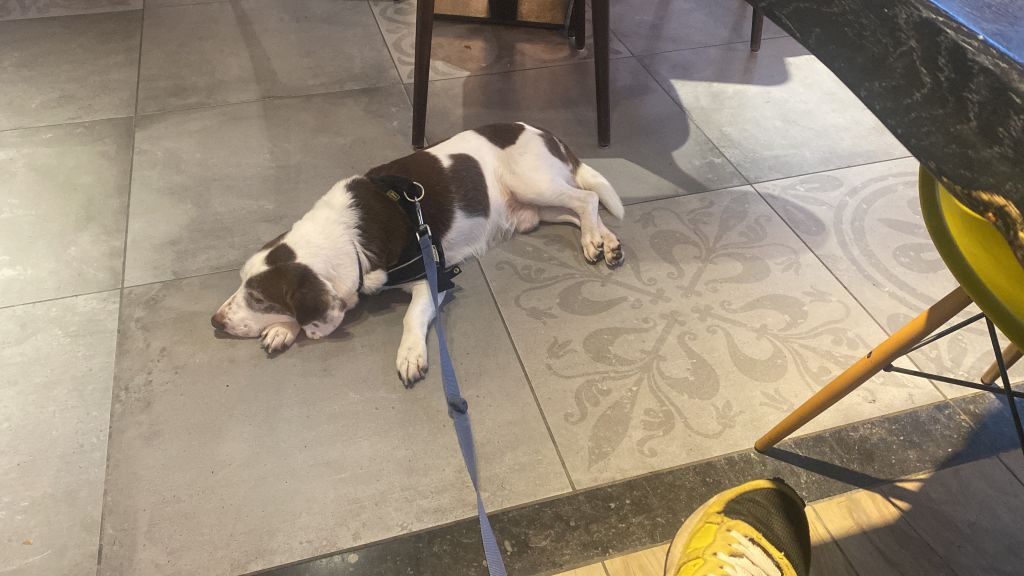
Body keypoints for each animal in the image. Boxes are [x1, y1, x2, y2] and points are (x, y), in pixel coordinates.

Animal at [211, 122, 624, 386]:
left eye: (260, 299)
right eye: (246, 288)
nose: (215, 321)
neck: (347, 236)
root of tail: (546, 133)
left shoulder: (432, 276)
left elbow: (412, 316)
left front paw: (410, 354)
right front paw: (283, 329)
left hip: (532, 183)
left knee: (587, 199)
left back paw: (593, 240)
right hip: (536, 208)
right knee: (581, 209)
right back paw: (605, 243)